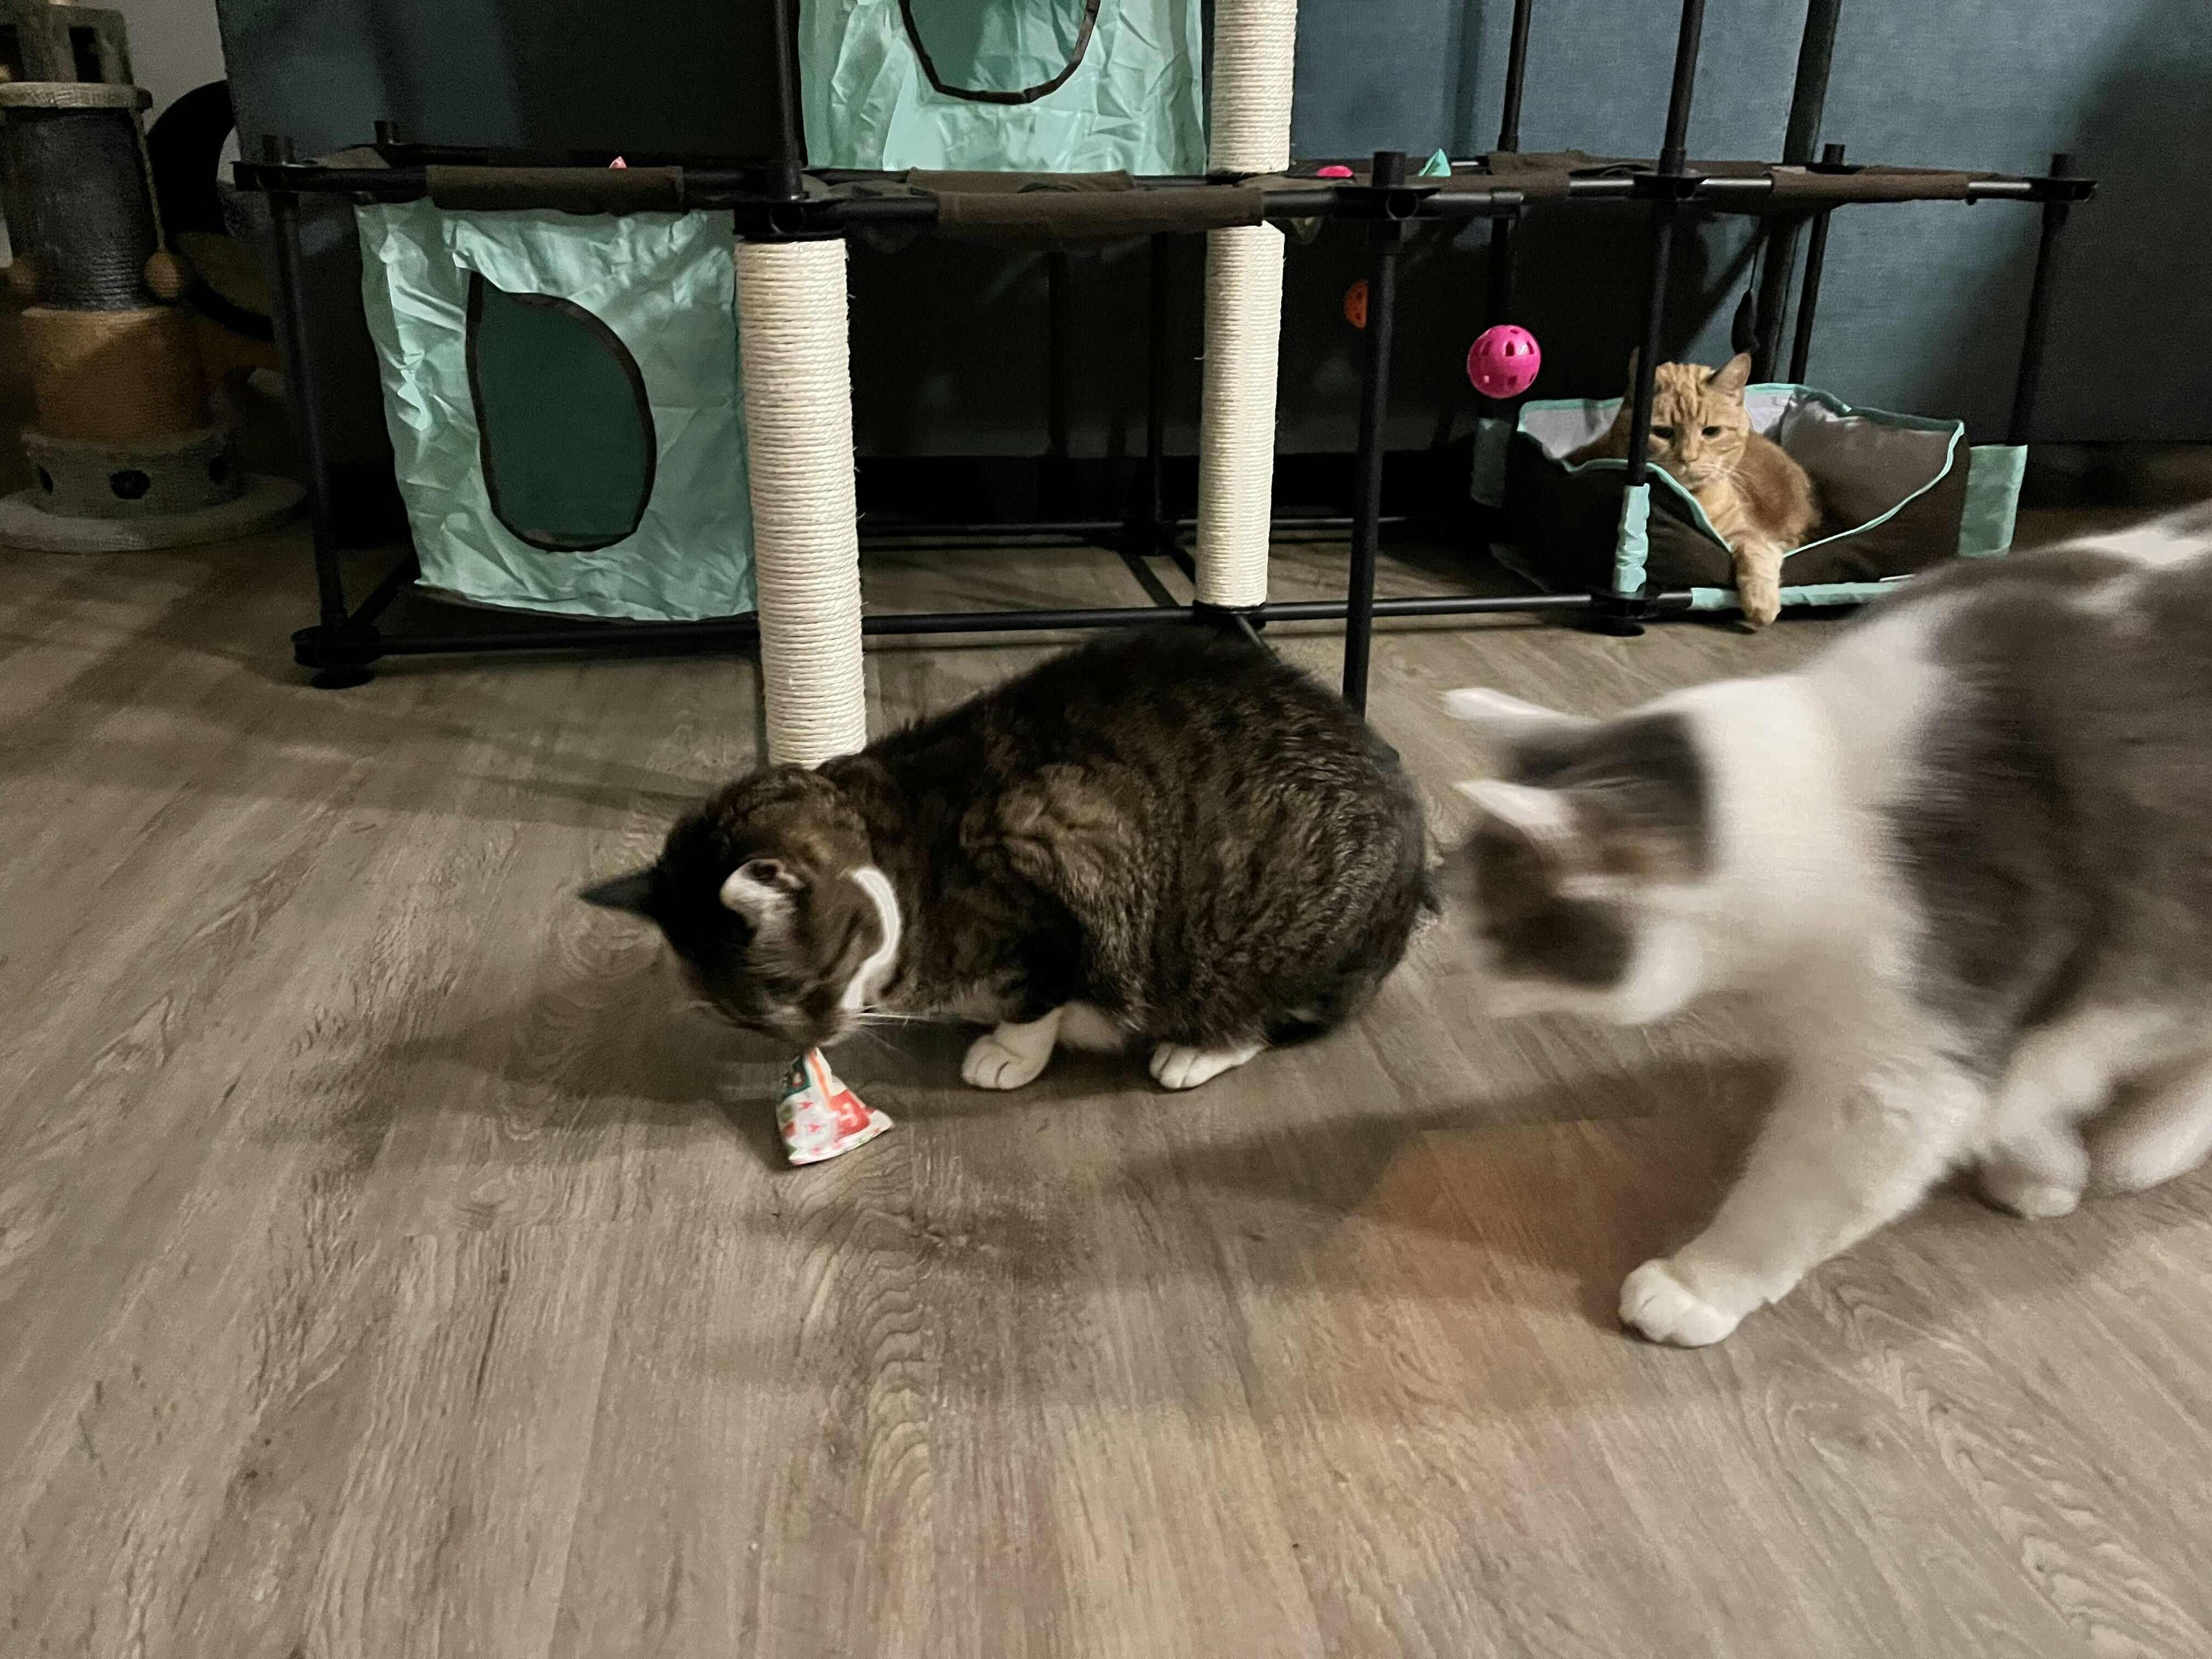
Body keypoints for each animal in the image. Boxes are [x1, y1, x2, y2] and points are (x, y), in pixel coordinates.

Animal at [585, 627, 1431, 1093]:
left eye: (792, 989)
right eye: (745, 1019)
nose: (811, 1043)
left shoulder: (1063, 857)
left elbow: (1039, 994)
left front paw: (1008, 1052)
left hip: (1261, 943)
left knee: (1278, 1017)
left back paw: (1194, 1050)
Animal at [1439, 505, 2212, 1346]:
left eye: (1496, 929)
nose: (1457, 973)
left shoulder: (1904, 1065)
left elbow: (1798, 1200)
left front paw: (1694, 1287)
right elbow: (2022, 1090)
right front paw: (2044, 1170)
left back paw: (2145, 1147)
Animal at [1567, 351, 1821, 628]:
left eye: (1711, 432)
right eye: (1663, 432)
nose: (1688, 458)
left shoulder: (1746, 532)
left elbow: (1758, 551)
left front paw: (1761, 603)